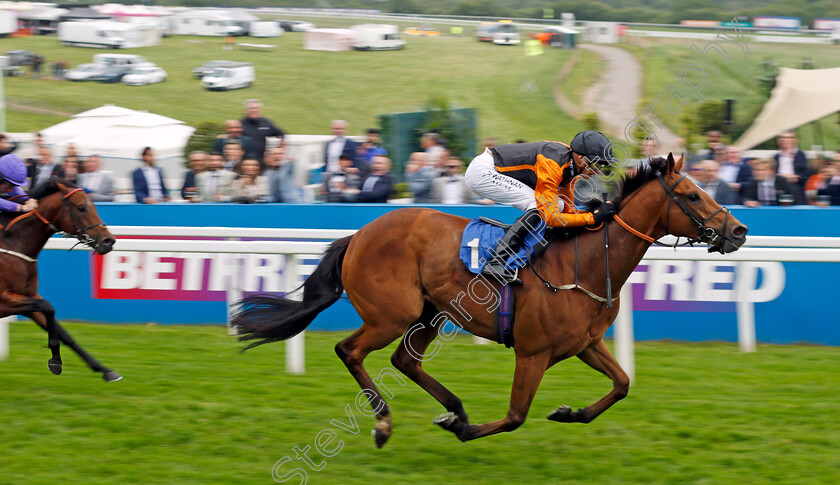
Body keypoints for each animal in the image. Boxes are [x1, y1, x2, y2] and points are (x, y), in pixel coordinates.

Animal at [0, 180, 120, 380]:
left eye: (94, 206)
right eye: (81, 207)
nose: (108, 241)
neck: (13, 243)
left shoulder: (27, 298)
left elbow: (63, 333)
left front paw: (105, 370)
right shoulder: (3, 300)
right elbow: (48, 307)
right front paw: (55, 360)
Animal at [231, 155, 748, 446]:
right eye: (691, 195)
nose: (739, 230)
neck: (584, 263)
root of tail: (359, 234)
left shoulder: (585, 344)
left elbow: (622, 384)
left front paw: (570, 413)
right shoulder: (533, 352)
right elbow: (517, 416)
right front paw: (465, 431)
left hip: (430, 313)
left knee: (404, 361)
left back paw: (454, 407)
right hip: (391, 314)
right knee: (350, 351)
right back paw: (385, 424)